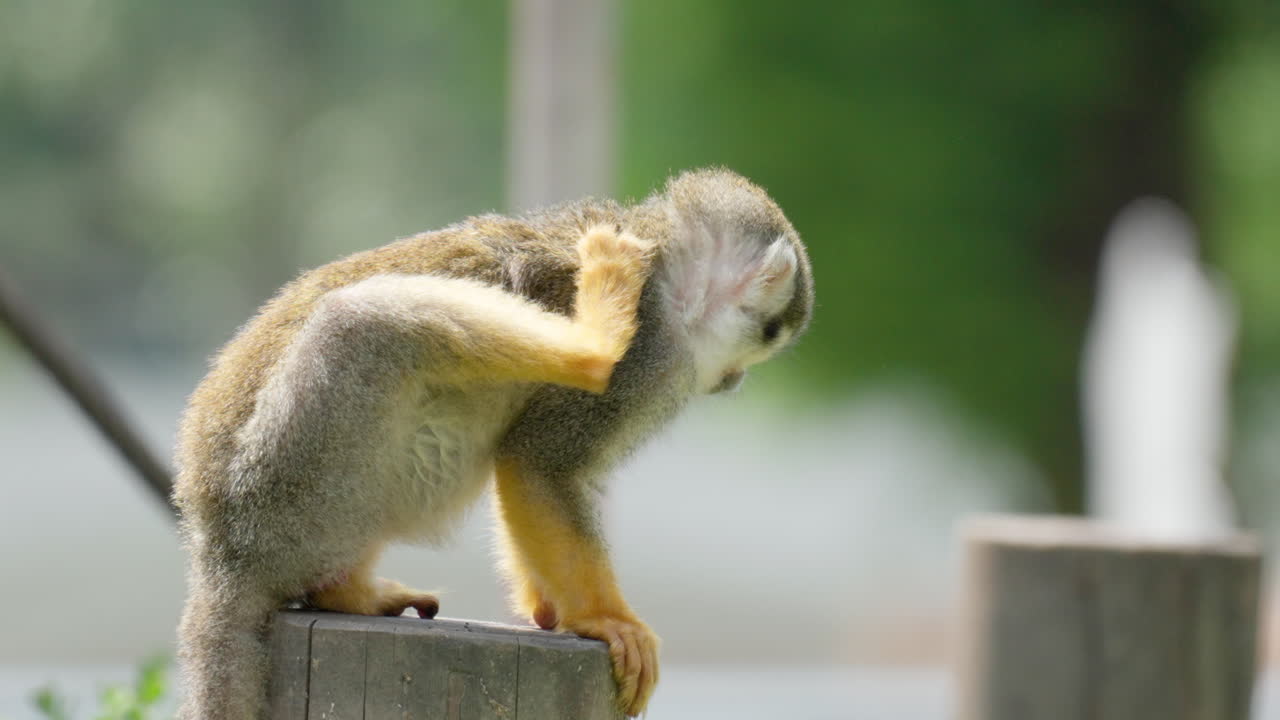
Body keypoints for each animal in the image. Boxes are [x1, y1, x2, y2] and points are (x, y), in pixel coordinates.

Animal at [172, 167, 813, 719]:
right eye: (770, 333)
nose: (734, 381)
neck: (668, 271)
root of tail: (219, 553)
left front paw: (548, 607)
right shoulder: (650, 349)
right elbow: (540, 465)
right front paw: (603, 618)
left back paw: (345, 591)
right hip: (290, 481)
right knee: (362, 320)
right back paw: (593, 345)